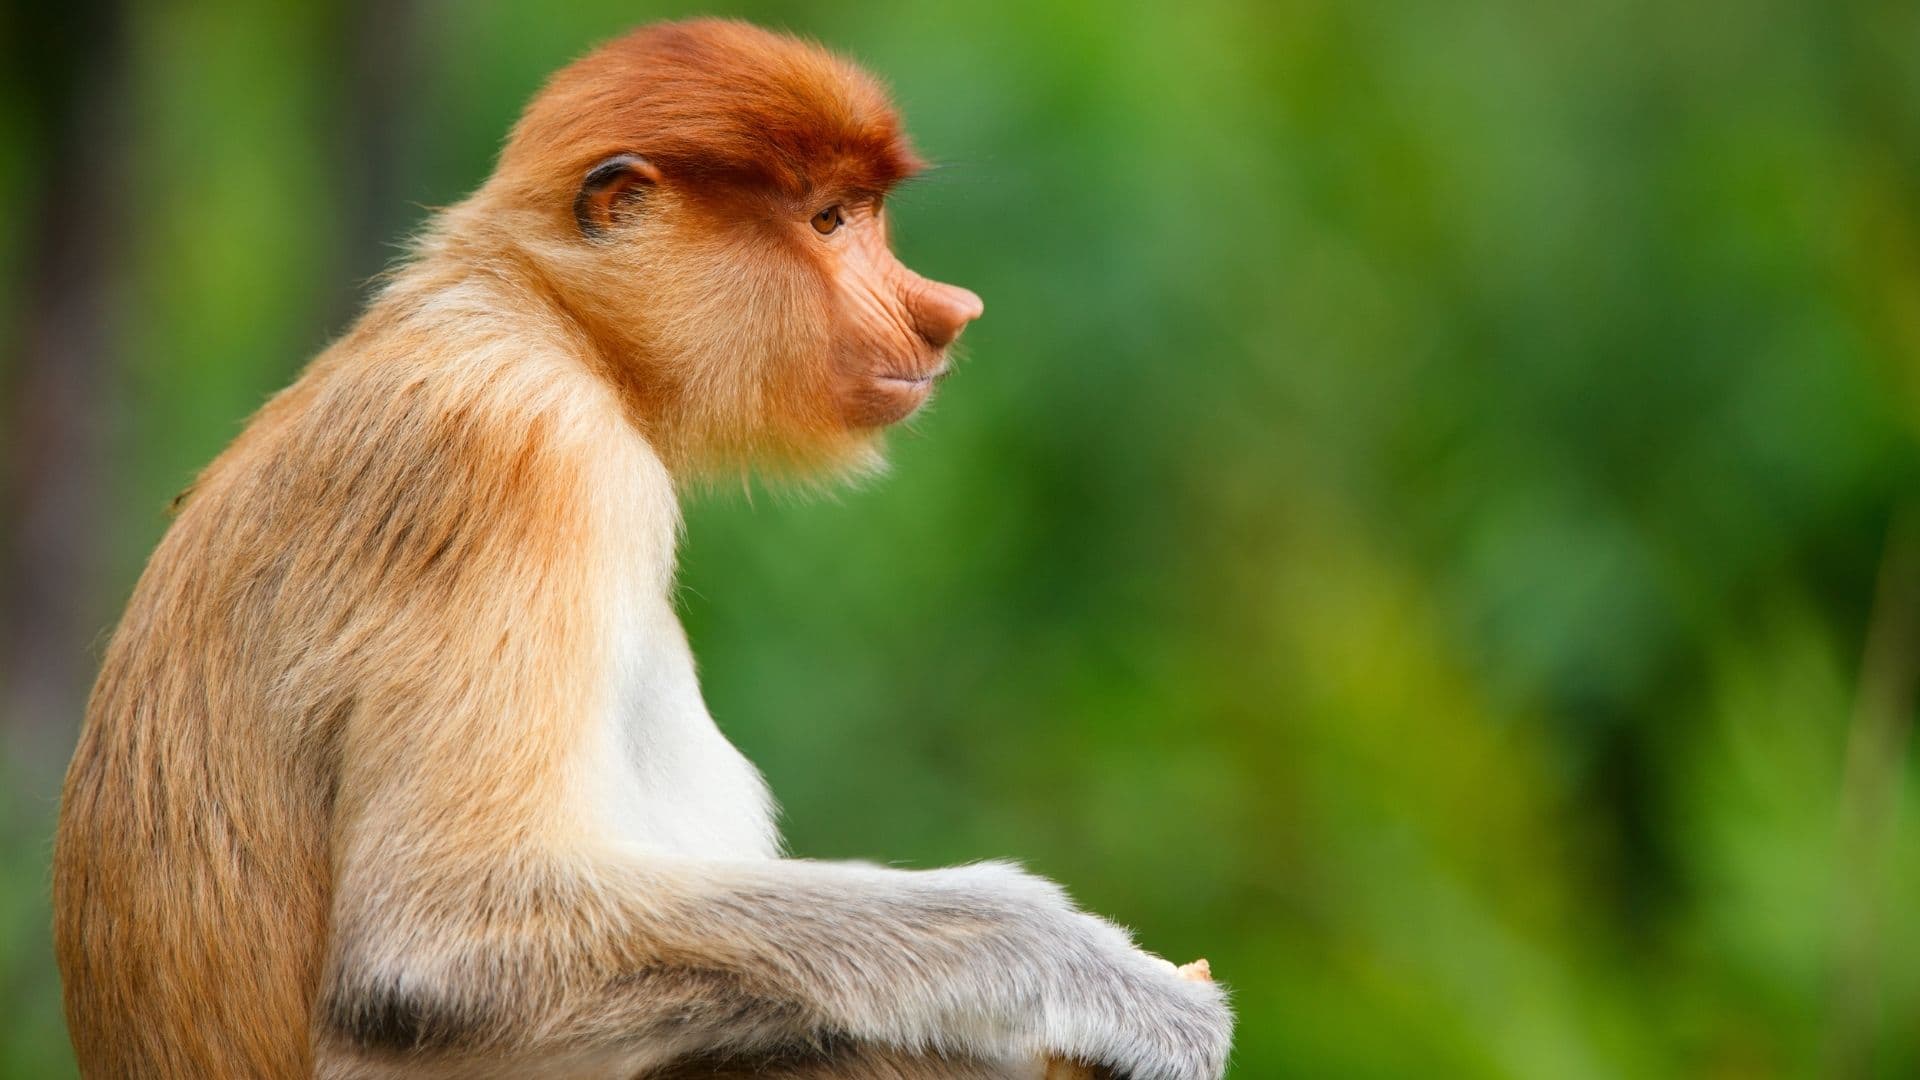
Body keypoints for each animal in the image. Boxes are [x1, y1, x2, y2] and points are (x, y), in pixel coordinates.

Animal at [56, 18, 1244, 1076]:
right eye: (828, 220)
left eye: (866, 216)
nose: (943, 310)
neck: (544, 319)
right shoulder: (530, 453)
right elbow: (434, 947)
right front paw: (1107, 977)